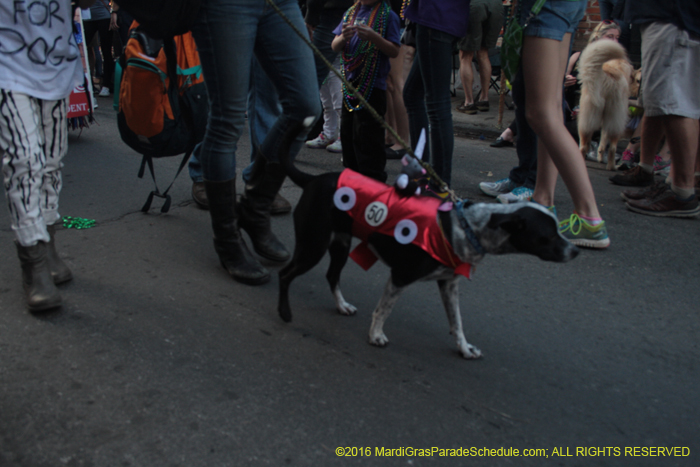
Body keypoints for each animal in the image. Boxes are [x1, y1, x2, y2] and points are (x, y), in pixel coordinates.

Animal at [276, 122, 576, 360]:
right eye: (548, 235)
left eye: (557, 230)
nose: (575, 251)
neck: (466, 226)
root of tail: (313, 180)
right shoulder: (400, 276)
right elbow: (383, 309)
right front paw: (375, 335)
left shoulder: (449, 284)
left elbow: (457, 322)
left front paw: (464, 348)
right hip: (313, 245)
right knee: (285, 273)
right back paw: (285, 312)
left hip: (340, 244)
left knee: (331, 276)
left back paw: (341, 305)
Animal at [576, 38, 636, 170]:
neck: (617, 66)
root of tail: (607, 76)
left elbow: (601, 144)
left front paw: (598, 156)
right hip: (615, 119)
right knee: (613, 147)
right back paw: (612, 167)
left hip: (587, 119)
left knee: (583, 146)